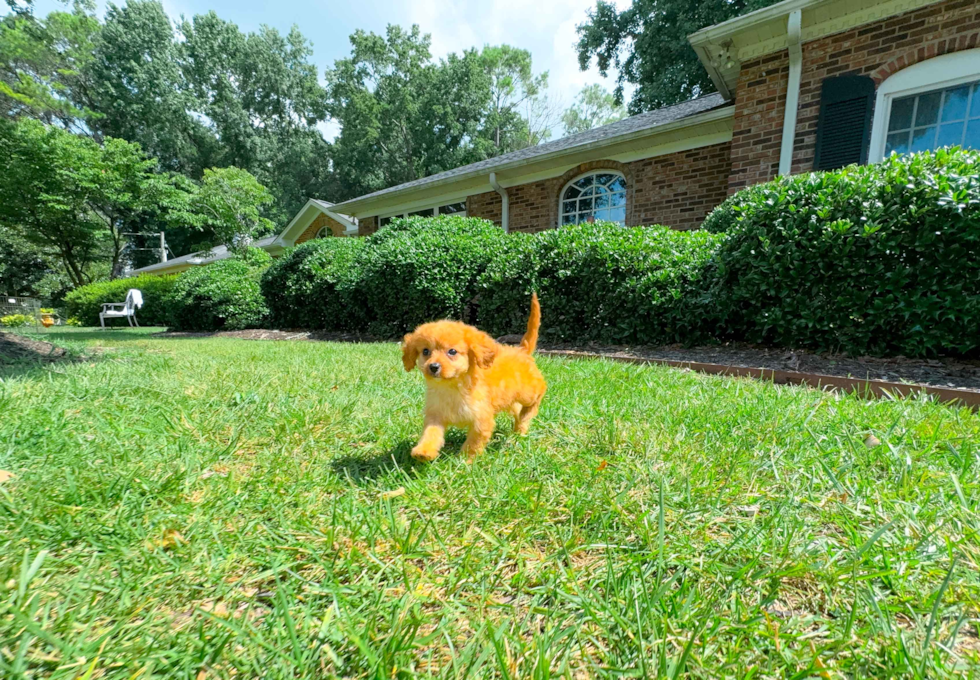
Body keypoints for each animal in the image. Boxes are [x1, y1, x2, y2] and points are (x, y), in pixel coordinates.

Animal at [402, 294, 548, 462]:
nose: (433, 367)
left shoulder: (482, 420)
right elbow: (431, 434)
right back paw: (520, 430)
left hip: (527, 392)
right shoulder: (435, 416)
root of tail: (522, 350)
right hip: (509, 400)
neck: (451, 387)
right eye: (425, 351)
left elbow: (473, 443)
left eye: (452, 351)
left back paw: (527, 413)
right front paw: (424, 451)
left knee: (540, 390)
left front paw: (465, 461)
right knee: (518, 412)